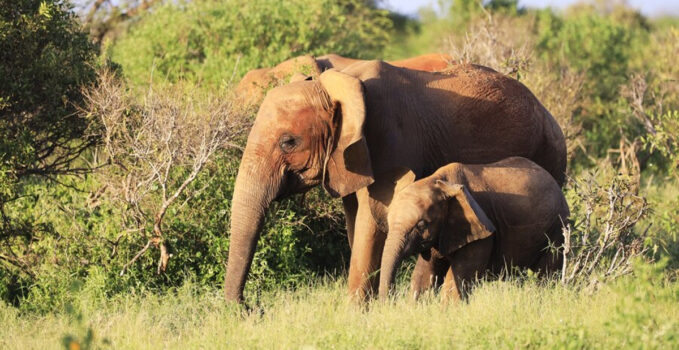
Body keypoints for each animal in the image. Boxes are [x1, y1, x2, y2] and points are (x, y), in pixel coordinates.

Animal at [382, 157, 568, 300]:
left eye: (421, 225)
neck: (439, 182)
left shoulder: (482, 229)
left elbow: (456, 280)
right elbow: (424, 275)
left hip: (557, 229)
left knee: (546, 276)